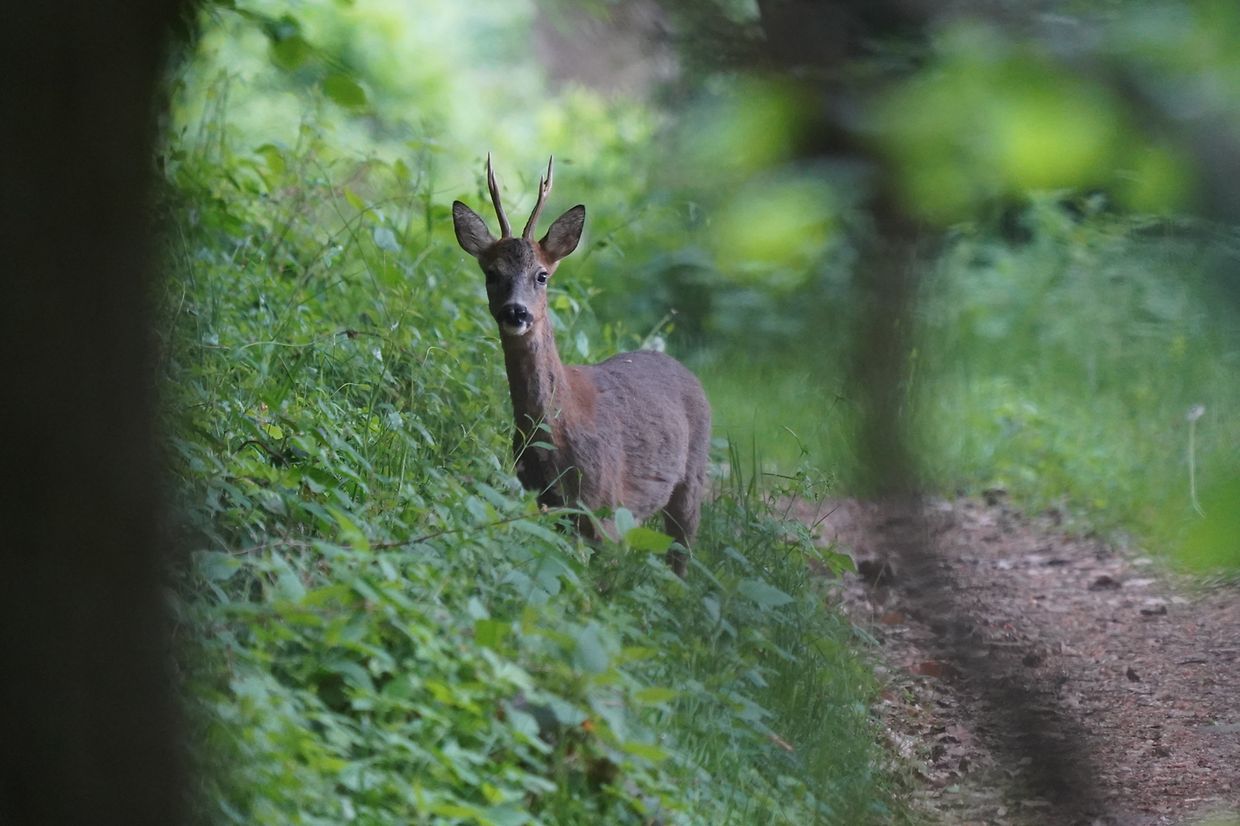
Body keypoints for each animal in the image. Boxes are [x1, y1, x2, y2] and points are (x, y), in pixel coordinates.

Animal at [452, 155, 711, 576]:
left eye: (542, 275)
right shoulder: (541, 497)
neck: (555, 433)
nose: (515, 312)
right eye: (492, 274)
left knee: (681, 554)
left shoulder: (606, 507)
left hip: (692, 476)